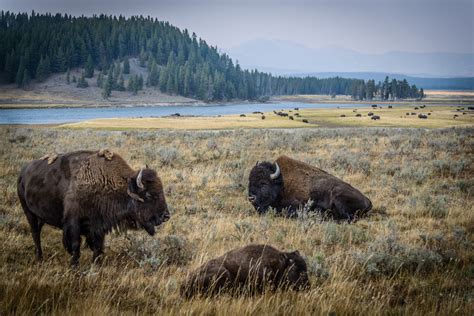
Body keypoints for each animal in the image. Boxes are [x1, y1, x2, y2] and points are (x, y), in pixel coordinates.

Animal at [17, 149, 171, 266]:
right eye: (149, 195)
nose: (166, 216)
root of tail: (23, 173)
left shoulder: (99, 226)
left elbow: (97, 247)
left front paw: (95, 265)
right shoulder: (73, 223)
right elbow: (75, 246)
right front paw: (74, 267)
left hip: (40, 216)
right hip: (28, 212)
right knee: (35, 234)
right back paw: (39, 258)